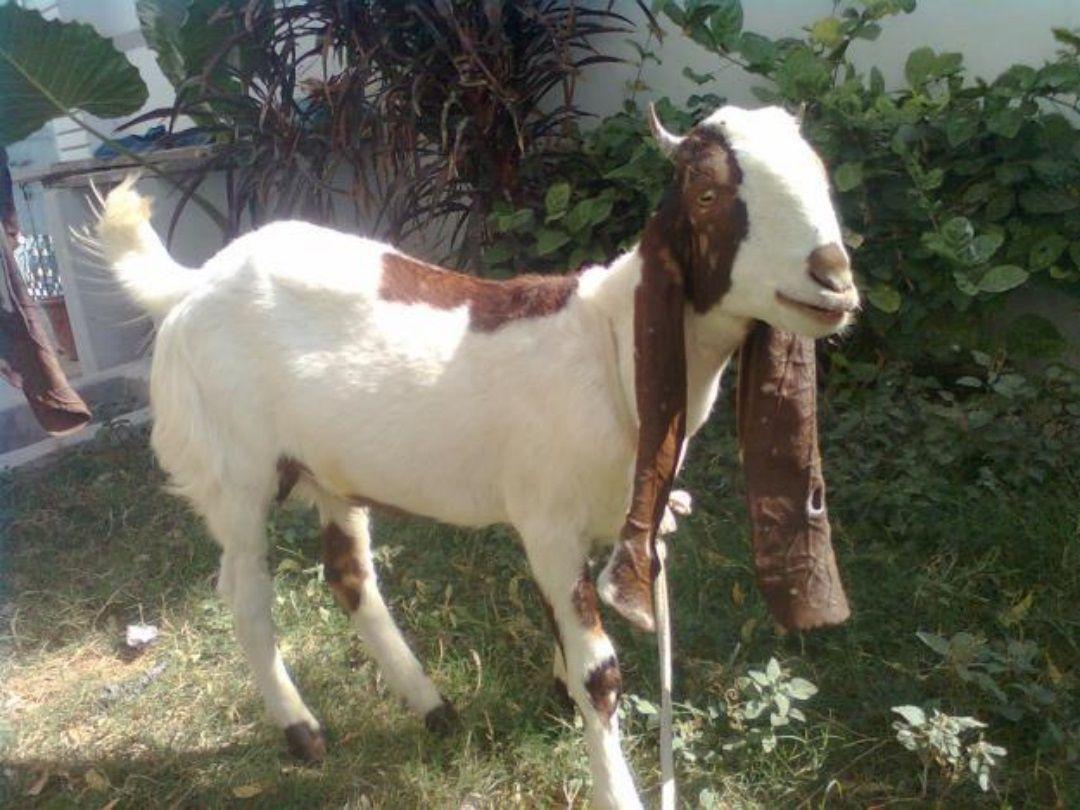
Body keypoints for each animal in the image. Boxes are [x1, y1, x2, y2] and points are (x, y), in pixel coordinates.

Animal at [94, 104, 857, 810]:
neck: (608, 344)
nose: (835, 278)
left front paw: (559, 695)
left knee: (348, 575)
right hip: (235, 471)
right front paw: (613, 782)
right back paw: (301, 730)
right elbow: (602, 674)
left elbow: (571, 642)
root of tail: (192, 284)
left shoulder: (591, 523)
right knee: (245, 590)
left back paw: (429, 704)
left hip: (333, 470)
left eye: (821, 176)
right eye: (705, 193)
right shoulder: (547, 522)